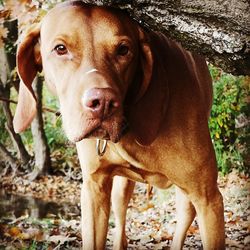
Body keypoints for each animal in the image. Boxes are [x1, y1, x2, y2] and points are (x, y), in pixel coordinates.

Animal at [13, 0, 225, 249]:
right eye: (60, 49)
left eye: (123, 50)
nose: (103, 103)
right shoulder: (94, 189)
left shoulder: (208, 199)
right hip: (121, 188)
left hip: (189, 197)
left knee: (183, 218)